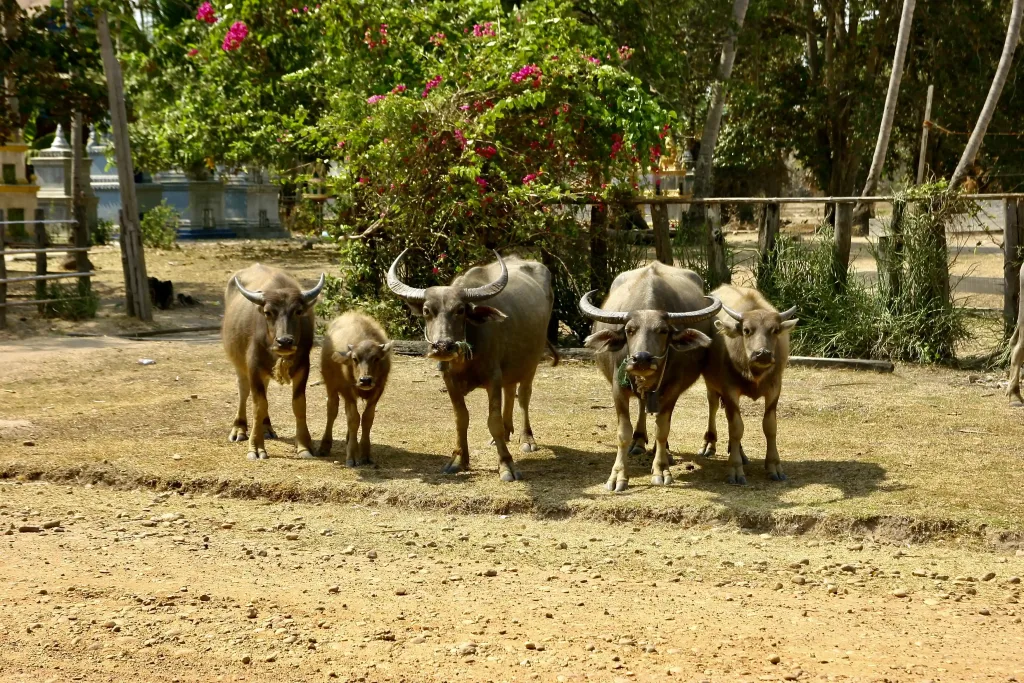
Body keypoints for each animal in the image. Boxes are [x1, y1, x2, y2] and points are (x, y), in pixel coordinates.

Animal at [221, 264, 323, 462]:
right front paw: (256, 447)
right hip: (239, 362)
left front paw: (304, 446)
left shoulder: (304, 366)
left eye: (298, 311)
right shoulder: (253, 366)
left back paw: (266, 427)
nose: (285, 341)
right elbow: (258, 405)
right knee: (243, 391)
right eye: (268, 312)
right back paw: (239, 429)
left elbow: (299, 404)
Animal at [321, 313, 393, 466]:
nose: (365, 380)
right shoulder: (348, 391)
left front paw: (365, 454)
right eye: (355, 358)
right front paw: (351, 456)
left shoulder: (378, 390)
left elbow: (367, 418)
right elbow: (354, 419)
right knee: (332, 410)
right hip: (330, 385)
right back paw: (324, 446)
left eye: (376, 358)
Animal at [387, 250, 557, 481]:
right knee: (510, 389)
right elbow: (461, 418)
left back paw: (527, 439)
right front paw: (459, 460)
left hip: (531, 362)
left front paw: (506, 464)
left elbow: (493, 421)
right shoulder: (449, 380)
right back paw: (506, 431)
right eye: (427, 310)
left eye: (460, 310)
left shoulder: (493, 377)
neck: (465, 361)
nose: (442, 346)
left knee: (523, 396)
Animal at [581, 262, 724, 491]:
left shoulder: (672, 389)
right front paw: (618, 476)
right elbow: (623, 432)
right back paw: (639, 441)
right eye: (630, 330)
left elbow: (662, 429)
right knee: (641, 404)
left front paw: (661, 468)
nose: (641, 359)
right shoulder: (617, 388)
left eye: (663, 330)